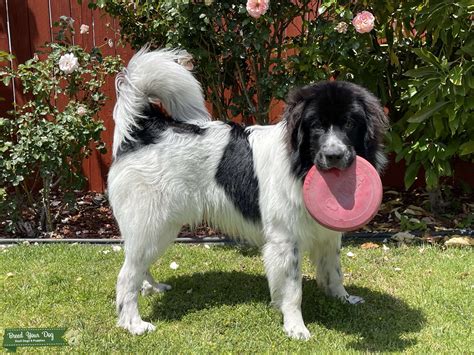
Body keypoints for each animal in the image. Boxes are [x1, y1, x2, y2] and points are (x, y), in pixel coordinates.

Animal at [108, 47, 388, 340]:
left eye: (349, 124)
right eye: (316, 126)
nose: (334, 156)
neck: (299, 163)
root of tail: (144, 130)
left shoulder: (327, 235)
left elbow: (334, 272)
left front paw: (343, 299)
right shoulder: (285, 241)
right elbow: (293, 290)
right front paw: (295, 326)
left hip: (157, 228)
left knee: (138, 266)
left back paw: (151, 288)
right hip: (153, 225)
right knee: (127, 275)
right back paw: (133, 323)